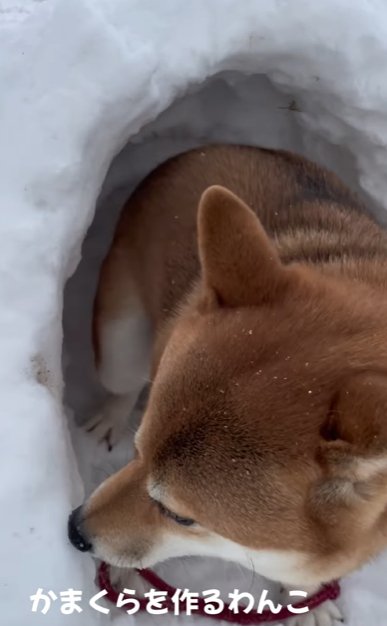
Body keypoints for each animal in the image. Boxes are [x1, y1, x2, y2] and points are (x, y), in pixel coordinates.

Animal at [69, 145, 387, 620]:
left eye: (182, 517)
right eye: (136, 451)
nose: (74, 530)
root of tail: (206, 148)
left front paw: (305, 599)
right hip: (120, 342)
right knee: (122, 385)